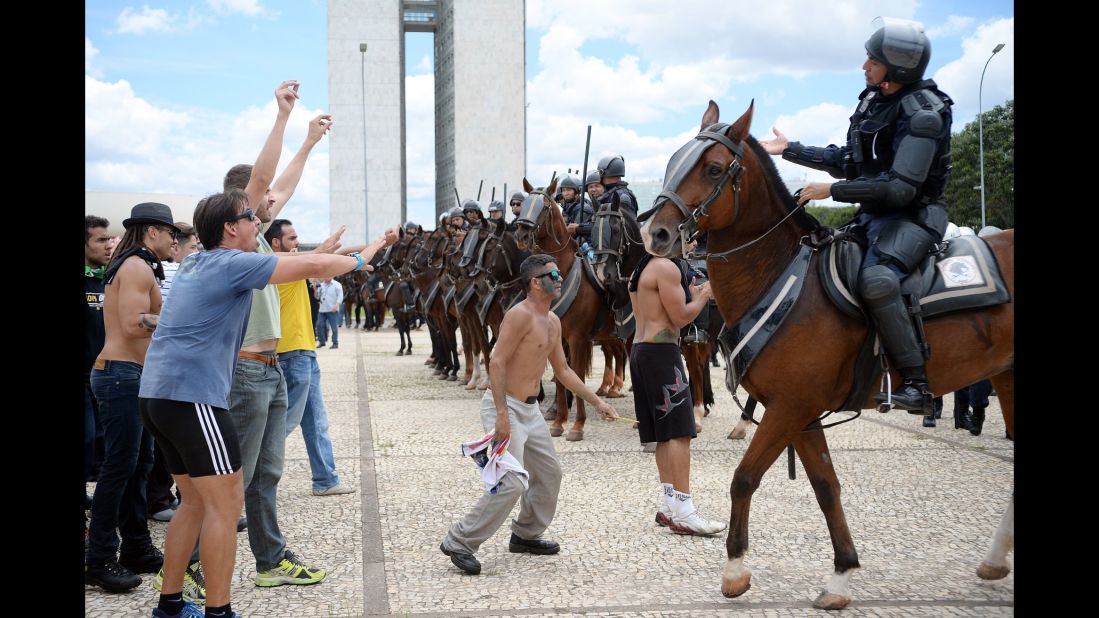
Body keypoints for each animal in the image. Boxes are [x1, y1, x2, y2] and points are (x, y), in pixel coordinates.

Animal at [641, 101, 1011, 607]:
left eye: (713, 169)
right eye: (674, 161)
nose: (655, 233)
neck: (782, 275)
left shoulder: (790, 407)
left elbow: (744, 478)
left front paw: (735, 570)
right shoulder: (802, 412)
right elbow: (825, 485)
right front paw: (840, 575)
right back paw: (994, 561)